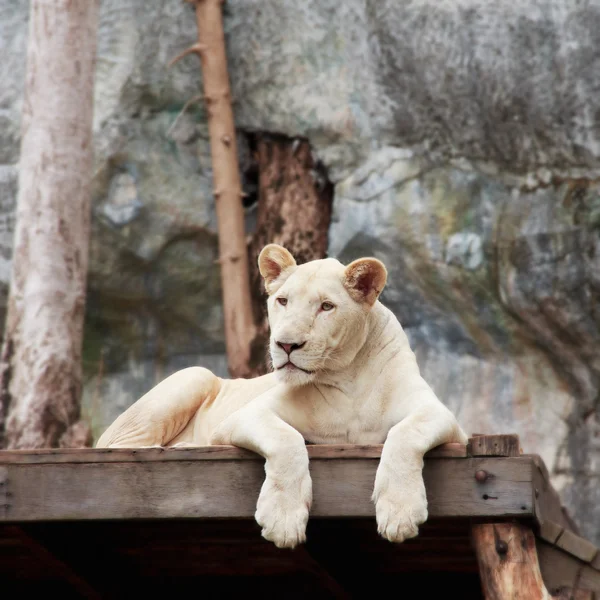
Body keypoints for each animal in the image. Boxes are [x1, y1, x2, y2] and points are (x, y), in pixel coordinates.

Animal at [97, 244, 468, 548]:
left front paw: (400, 512)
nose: (287, 344)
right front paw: (283, 521)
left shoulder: (444, 417)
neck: (346, 378)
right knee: (121, 445)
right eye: (283, 301)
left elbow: (406, 433)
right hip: (194, 375)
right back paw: (185, 447)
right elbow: (286, 439)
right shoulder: (247, 415)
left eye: (326, 306)